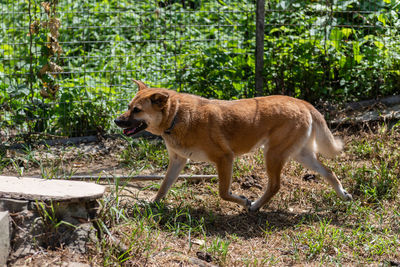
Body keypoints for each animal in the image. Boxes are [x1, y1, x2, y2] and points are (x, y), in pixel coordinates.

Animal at [114, 80, 352, 213]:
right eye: (129, 107)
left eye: (137, 110)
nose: (116, 121)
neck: (176, 117)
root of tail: (302, 102)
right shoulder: (178, 160)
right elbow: (163, 187)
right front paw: (152, 206)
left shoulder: (224, 158)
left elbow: (223, 192)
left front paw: (244, 201)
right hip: (300, 155)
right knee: (329, 172)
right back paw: (343, 195)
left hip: (273, 154)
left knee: (275, 185)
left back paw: (255, 206)